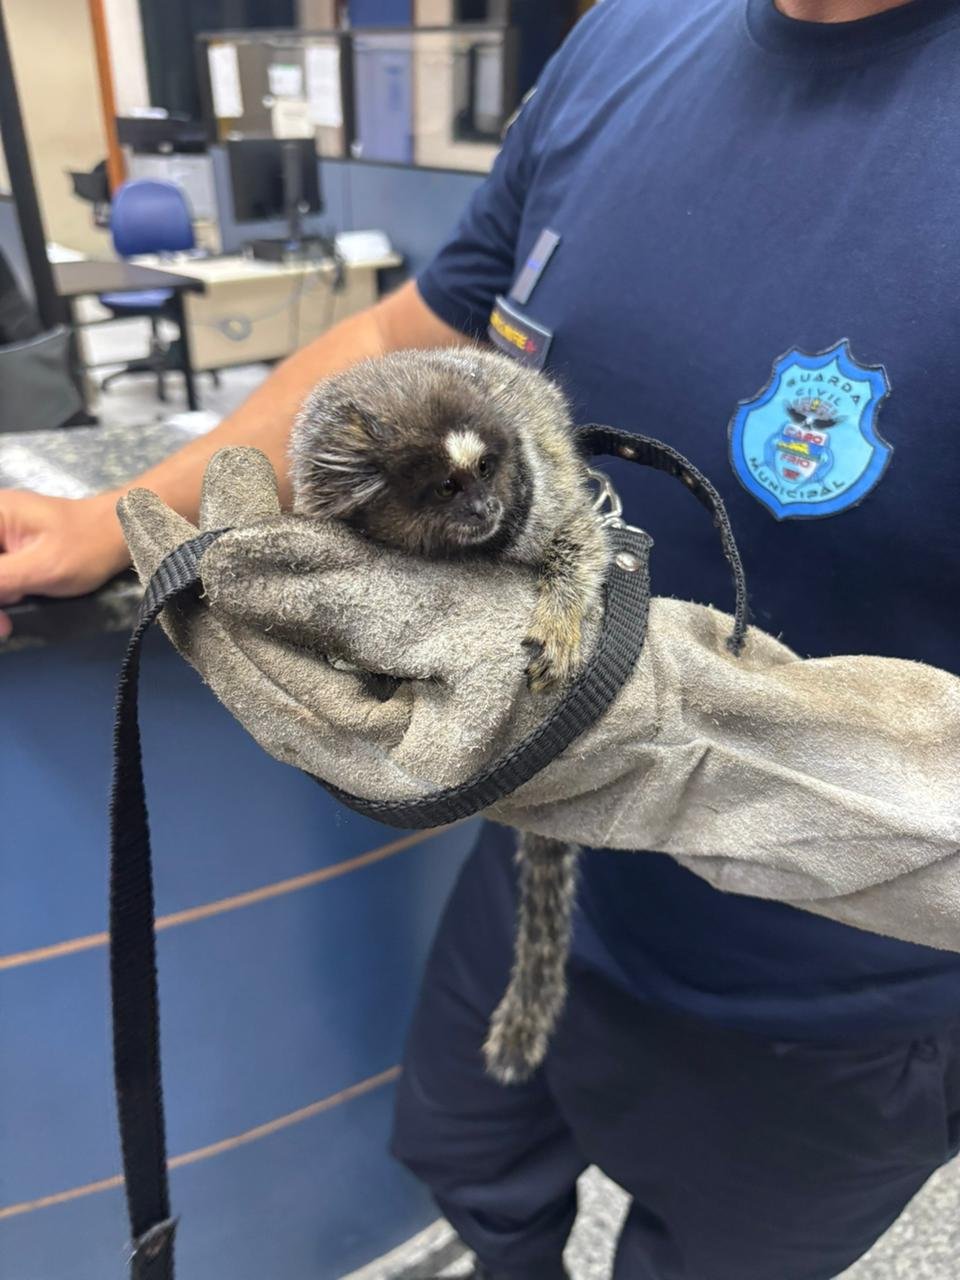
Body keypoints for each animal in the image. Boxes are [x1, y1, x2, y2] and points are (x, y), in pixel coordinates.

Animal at [289, 346, 612, 1082]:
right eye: (444, 487)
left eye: (488, 470)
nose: (488, 504)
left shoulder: (544, 495)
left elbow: (578, 539)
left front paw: (563, 622)